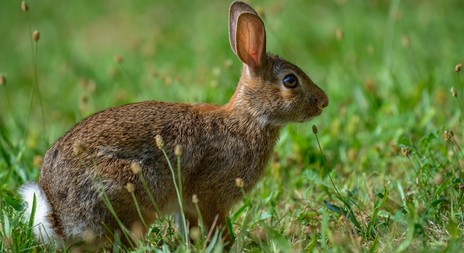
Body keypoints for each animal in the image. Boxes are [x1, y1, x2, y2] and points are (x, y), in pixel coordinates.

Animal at [19, 0, 330, 248]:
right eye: (290, 81)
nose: (323, 102)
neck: (247, 119)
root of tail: (59, 217)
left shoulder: (188, 208)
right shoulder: (212, 199)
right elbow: (216, 227)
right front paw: (228, 246)